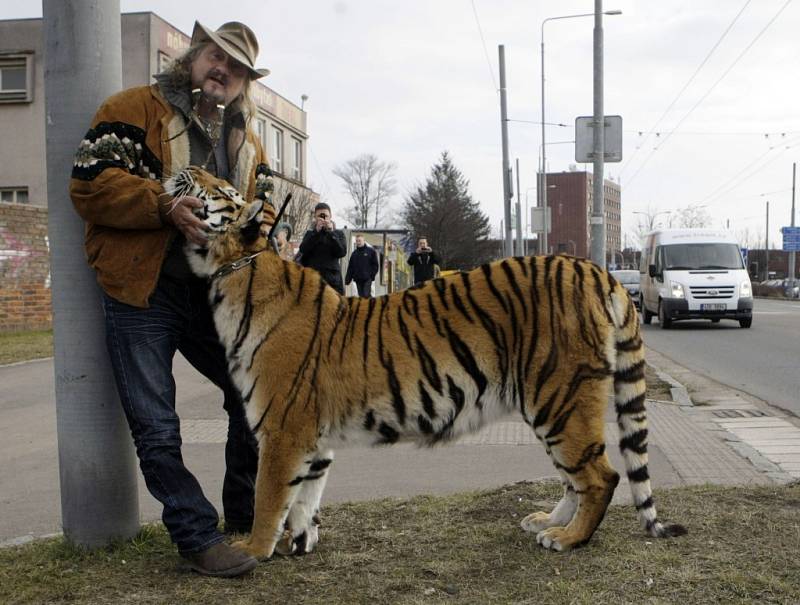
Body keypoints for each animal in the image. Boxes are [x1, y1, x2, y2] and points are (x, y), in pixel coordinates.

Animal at [170, 166, 688, 560]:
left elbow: (270, 496)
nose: (185, 167)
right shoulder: (313, 437)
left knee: (601, 476)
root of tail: (596, 270)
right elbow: (304, 497)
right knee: (577, 477)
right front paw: (298, 543)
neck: (234, 271)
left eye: (218, 187)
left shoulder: (282, 429)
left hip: (559, 396)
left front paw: (252, 550)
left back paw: (568, 538)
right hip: (553, 402)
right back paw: (546, 521)